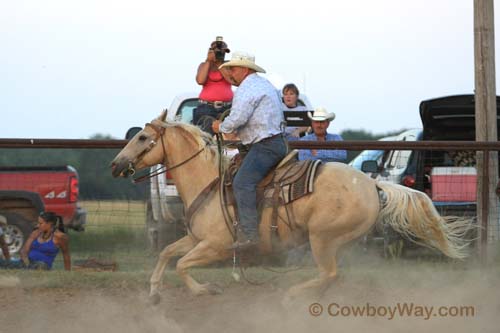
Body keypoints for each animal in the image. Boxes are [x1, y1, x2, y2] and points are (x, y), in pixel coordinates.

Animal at [110, 111, 472, 300]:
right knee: (334, 277)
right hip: (339, 241)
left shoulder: (216, 245)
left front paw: (205, 290)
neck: (208, 181)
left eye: (143, 138)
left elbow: (183, 265)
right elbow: (167, 252)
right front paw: (154, 292)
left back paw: (291, 295)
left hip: (322, 238)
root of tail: (373, 183)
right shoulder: (196, 239)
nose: (115, 165)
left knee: (329, 274)